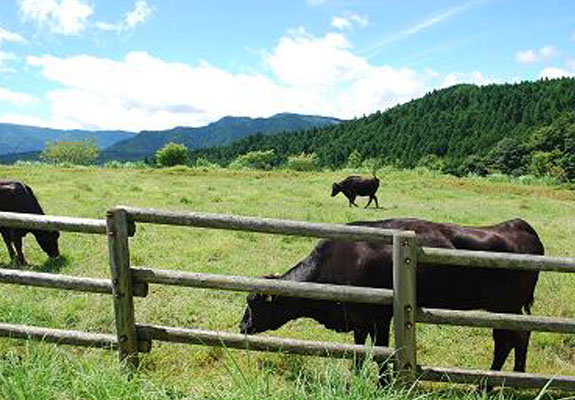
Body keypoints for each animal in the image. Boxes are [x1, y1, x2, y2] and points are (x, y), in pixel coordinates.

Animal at [241, 219, 548, 384]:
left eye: (254, 303)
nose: (241, 326)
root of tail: (518, 226)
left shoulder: (379, 316)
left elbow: (381, 351)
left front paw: (384, 383)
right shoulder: (358, 318)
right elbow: (359, 350)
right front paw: (356, 378)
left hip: (504, 307)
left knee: (506, 340)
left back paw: (489, 385)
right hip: (509, 309)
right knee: (519, 337)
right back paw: (513, 378)